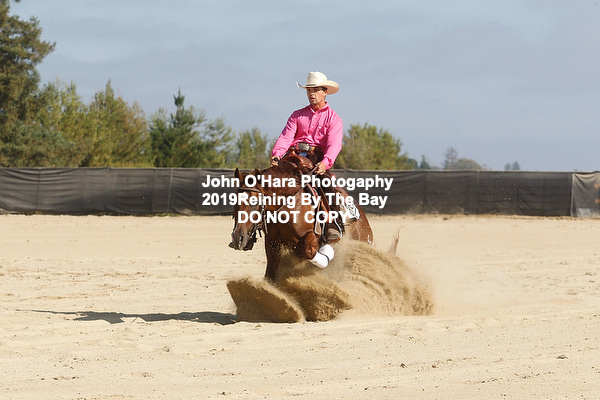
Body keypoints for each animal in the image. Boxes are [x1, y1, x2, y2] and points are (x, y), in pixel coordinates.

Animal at [229, 154, 373, 282]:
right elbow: (270, 273)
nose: (238, 238)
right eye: (234, 200)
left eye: (254, 202)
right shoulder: (272, 242)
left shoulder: (313, 236)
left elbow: (309, 252)